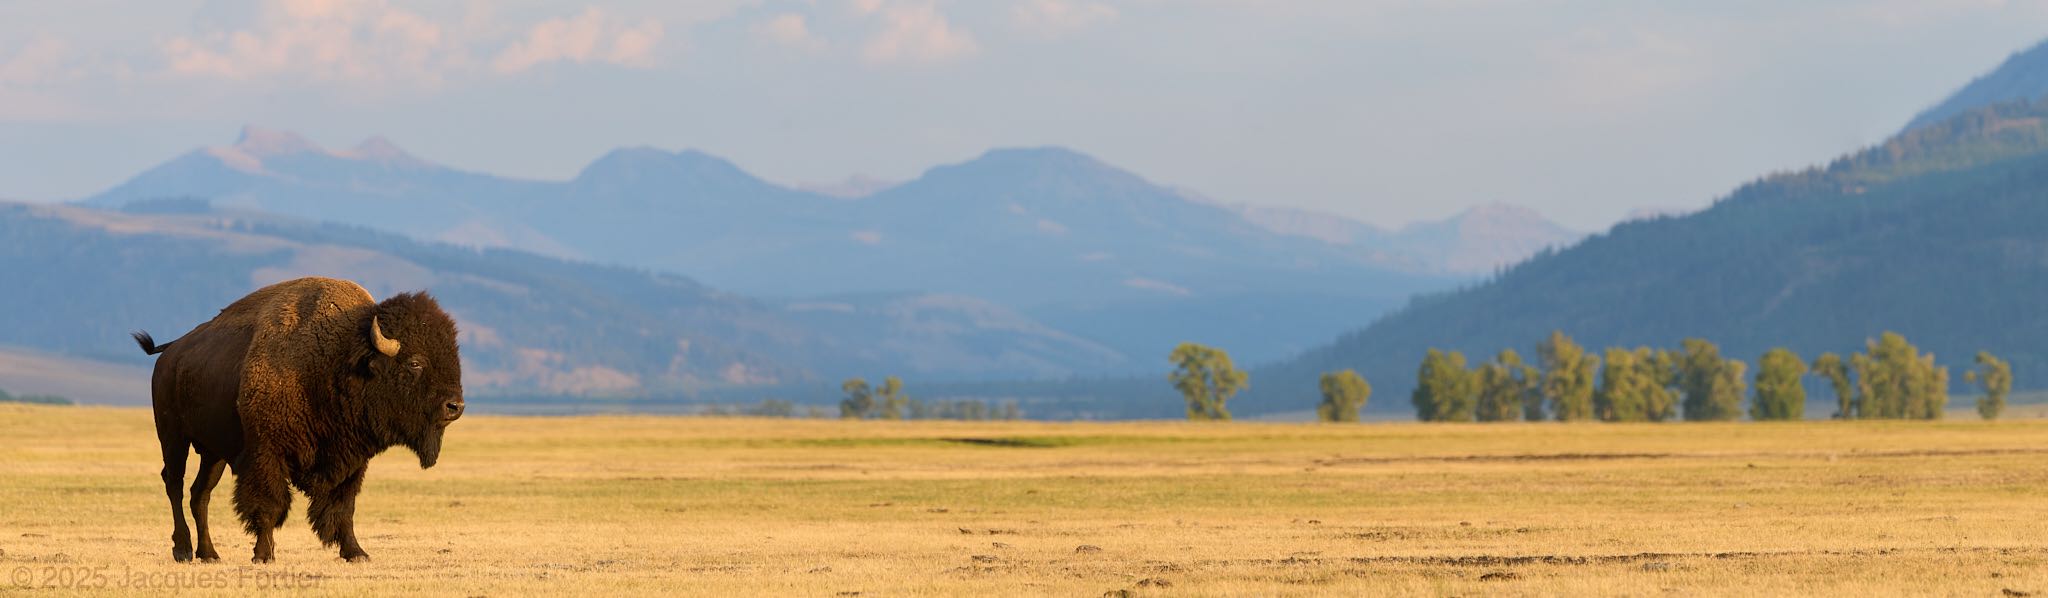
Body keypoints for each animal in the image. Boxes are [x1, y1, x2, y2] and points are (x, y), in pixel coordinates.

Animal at [134, 277, 464, 563]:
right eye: (415, 362)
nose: (455, 406)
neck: (335, 360)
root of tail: (170, 352)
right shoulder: (266, 455)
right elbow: (269, 504)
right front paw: (263, 554)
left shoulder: (351, 462)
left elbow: (344, 508)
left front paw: (355, 552)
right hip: (173, 437)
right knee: (174, 484)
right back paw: (183, 549)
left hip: (213, 452)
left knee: (199, 494)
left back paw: (209, 554)